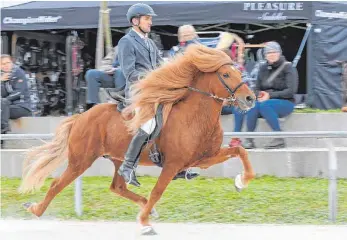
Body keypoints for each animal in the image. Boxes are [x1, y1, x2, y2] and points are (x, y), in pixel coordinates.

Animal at [20, 44, 256, 235]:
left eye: (237, 71)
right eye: (226, 74)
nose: (250, 98)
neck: (196, 117)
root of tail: (81, 116)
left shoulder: (204, 158)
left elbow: (240, 151)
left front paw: (241, 181)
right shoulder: (172, 164)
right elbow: (157, 191)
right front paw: (144, 223)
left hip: (118, 160)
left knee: (117, 187)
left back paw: (147, 208)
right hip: (81, 160)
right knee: (57, 184)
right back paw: (35, 209)